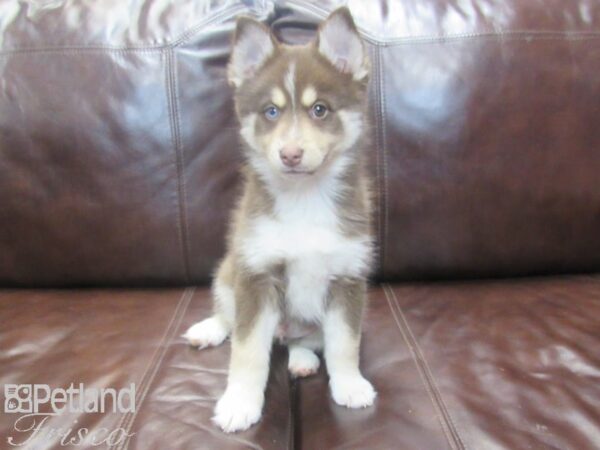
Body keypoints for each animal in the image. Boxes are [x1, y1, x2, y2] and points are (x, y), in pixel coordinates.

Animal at [185, 7, 378, 434]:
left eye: (320, 109)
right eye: (270, 112)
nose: (290, 154)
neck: (305, 199)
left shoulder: (348, 279)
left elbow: (345, 343)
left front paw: (350, 385)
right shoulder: (256, 275)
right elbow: (247, 350)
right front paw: (240, 402)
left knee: (305, 341)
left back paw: (303, 361)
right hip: (228, 272)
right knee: (229, 316)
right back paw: (209, 330)